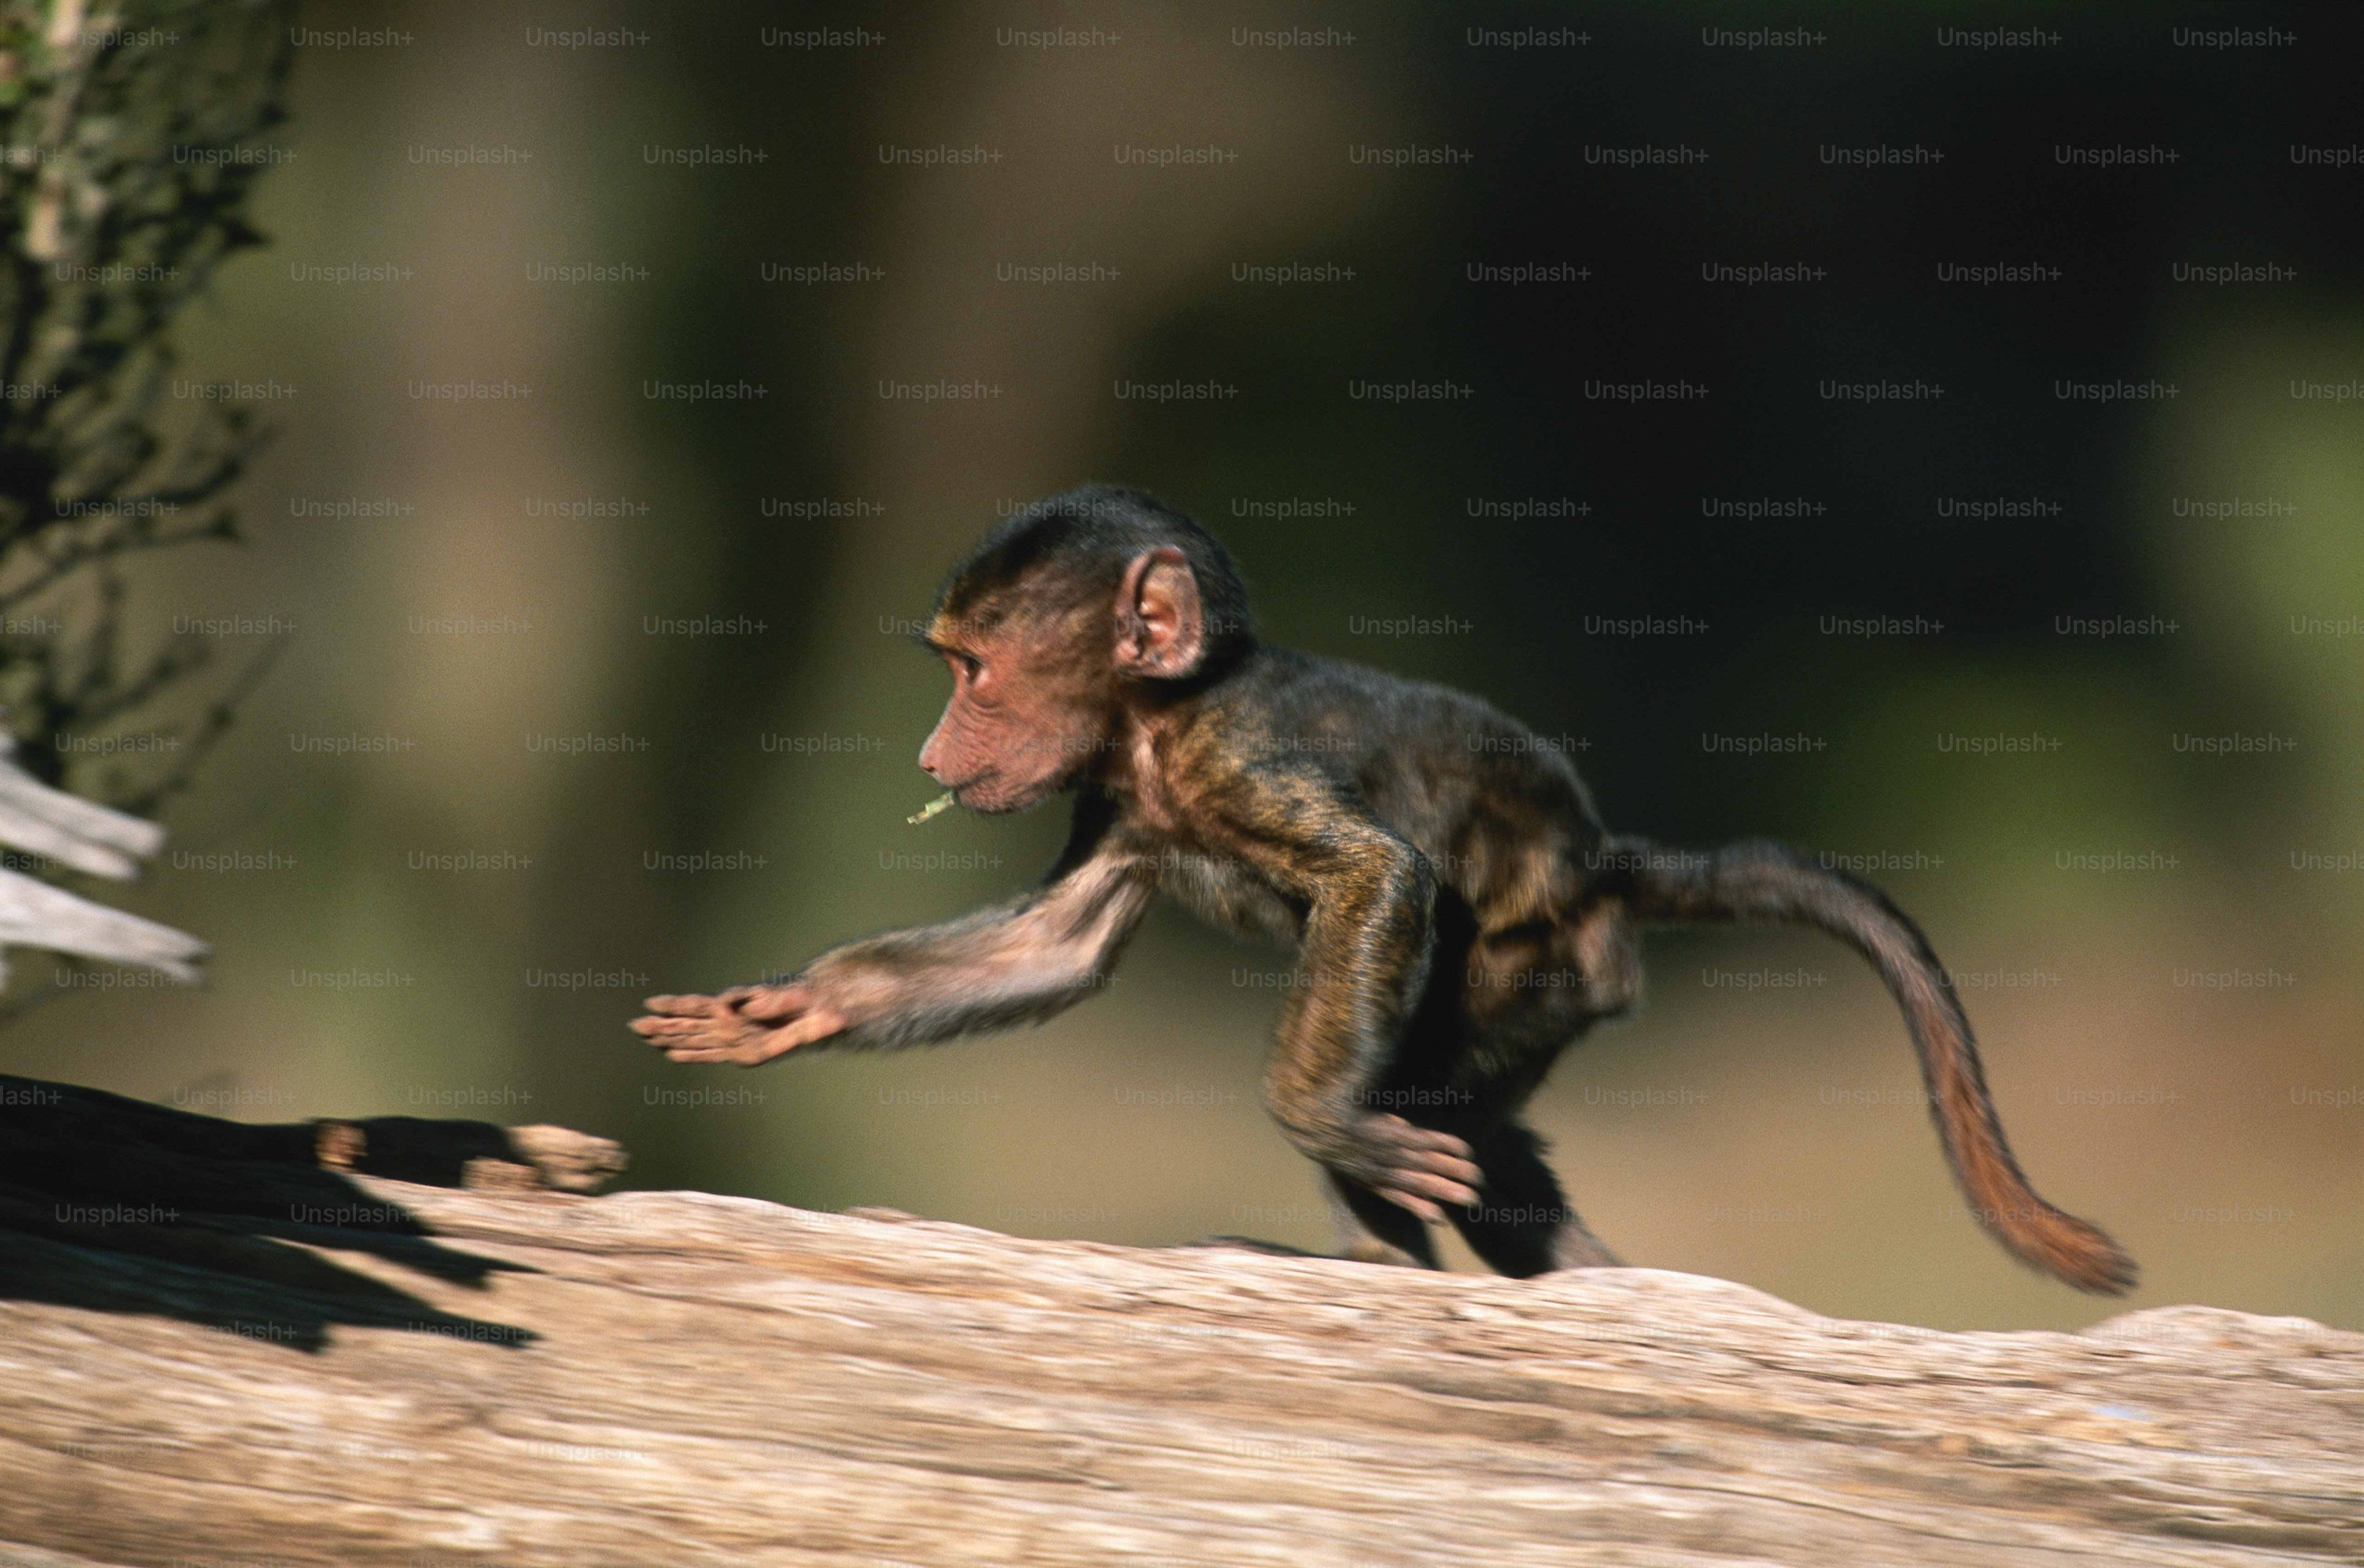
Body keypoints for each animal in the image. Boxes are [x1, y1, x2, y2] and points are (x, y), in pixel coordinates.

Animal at [632, 486, 2136, 1294]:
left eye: (971, 672)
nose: (936, 755)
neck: (1157, 722)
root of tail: (1599, 854)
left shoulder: (1235, 752)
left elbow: (1378, 875)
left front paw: (1319, 1118)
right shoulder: (1117, 800)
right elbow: (1053, 951)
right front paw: (804, 1007)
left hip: (1534, 965)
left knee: (1440, 1093)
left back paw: (1396, 1236)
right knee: (1489, 1143)